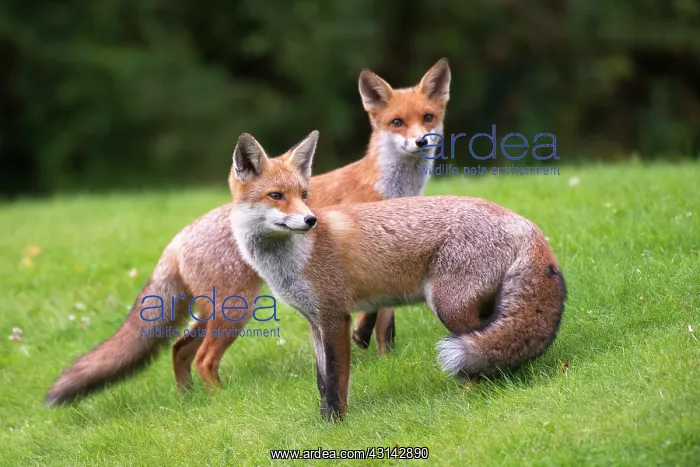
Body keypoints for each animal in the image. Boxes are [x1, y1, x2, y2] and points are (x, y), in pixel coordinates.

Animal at [44, 59, 452, 406]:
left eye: (427, 118)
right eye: (397, 122)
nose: (421, 141)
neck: (390, 187)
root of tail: (178, 237)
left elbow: (386, 322)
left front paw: (385, 358)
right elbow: (377, 317)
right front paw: (369, 348)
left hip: (214, 312)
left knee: (179, 349)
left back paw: (186, 401)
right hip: (234, 308)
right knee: (203, 358)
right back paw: (220, 401)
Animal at [227, 131, 568, 420]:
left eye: (304, 194)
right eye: (276, 195)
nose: (310, 220)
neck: (292, 259)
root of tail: (525, 223)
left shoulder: (335, 316)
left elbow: (336, 379)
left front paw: (336, 422)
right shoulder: (315, 321)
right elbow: (322, 380)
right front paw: (324, 420)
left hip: (449, 307)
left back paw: (470, 394)